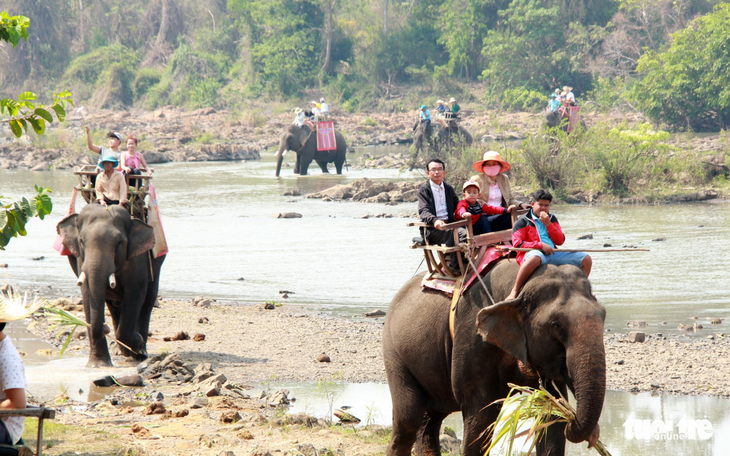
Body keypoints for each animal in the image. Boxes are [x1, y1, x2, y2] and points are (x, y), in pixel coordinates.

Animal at [57, 203, 165, 366]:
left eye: (119, 243)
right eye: (81, 241)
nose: (105, 328)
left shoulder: (137, 259)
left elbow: (135, 295)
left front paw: (136, 346)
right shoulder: (81, 260)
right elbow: (87, 295)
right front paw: (98, 365)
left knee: (148, 299)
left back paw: (140, 351)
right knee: (113, 306)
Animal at [382, 260, 604, 456]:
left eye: (603, 315)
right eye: (556, 324)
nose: (591, 438)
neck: (519, 287)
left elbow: (550, 414)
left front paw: (565, 416)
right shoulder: (473, 341)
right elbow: (480, 419)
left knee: (430, 419)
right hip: (394, 352)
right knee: (408, 419)